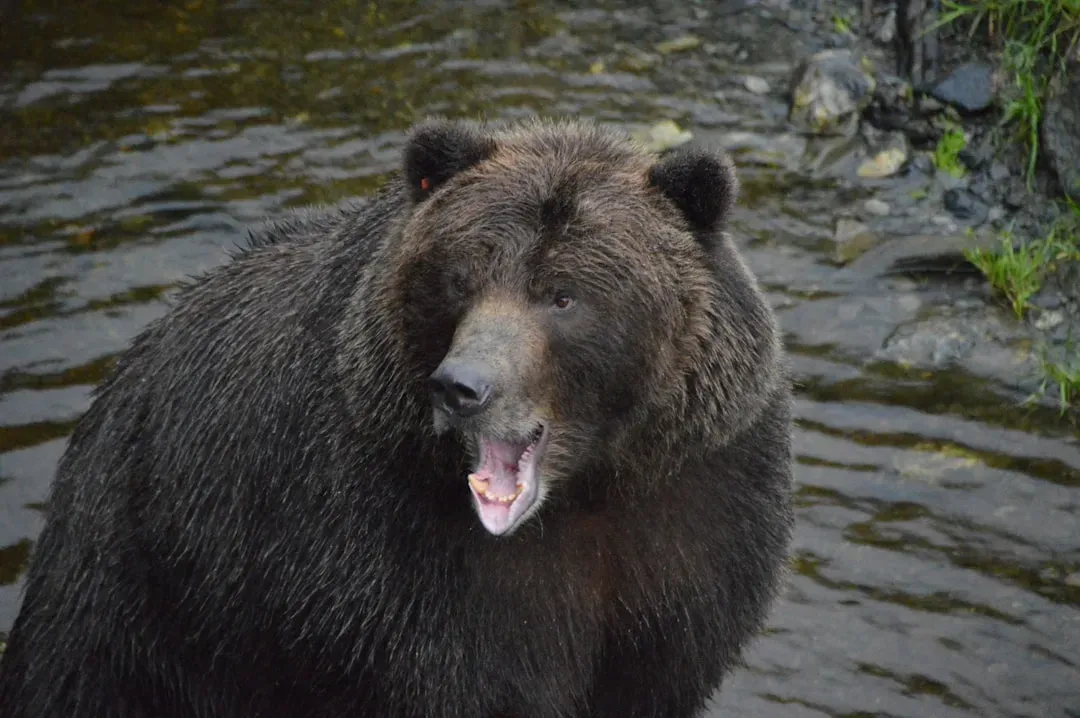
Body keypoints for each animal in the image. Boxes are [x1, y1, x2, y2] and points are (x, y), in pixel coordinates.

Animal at [0, 116, 795, 718]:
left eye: (563, 295)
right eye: (462, 278)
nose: (461, 386)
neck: (582, 496)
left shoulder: (692, 524)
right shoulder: (383, 554)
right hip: (138, 602)